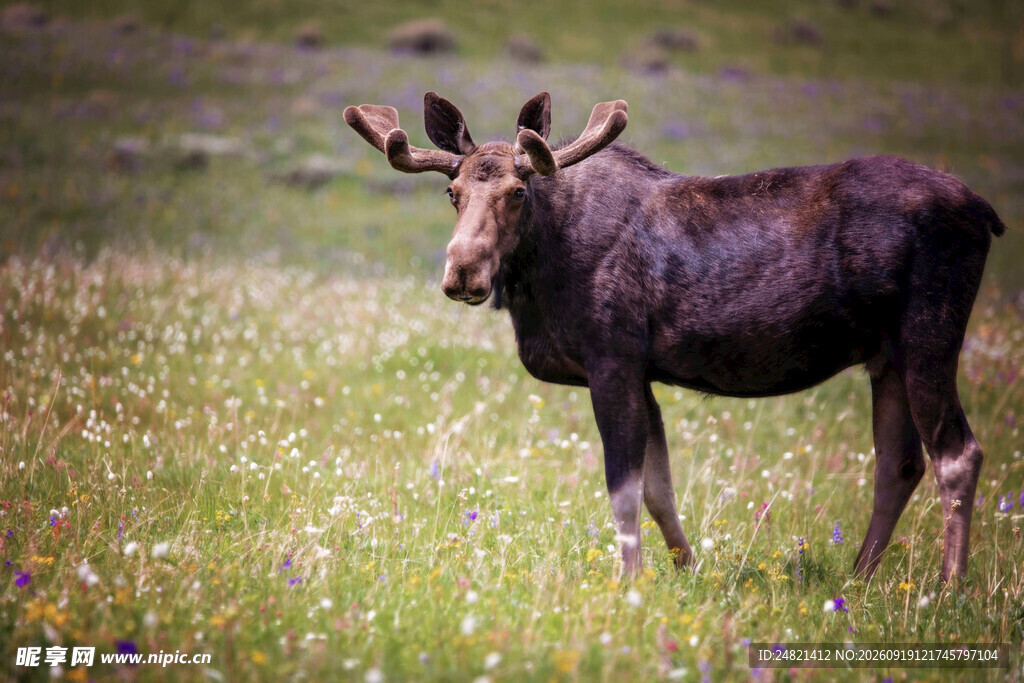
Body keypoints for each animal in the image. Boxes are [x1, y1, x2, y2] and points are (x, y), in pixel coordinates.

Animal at [344, 91, 1005, 582]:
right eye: (452, 193)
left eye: (518, 191)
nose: (462, 272)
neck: (538, 277)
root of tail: (985, 212)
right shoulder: (642, 372)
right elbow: (660, 488)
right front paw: (686, 570)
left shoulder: (612, 358)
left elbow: (623, 489)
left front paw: (626, 583)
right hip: (885, 357)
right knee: (898, 463)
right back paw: (860, 577)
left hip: (928, 333)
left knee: (957, 454)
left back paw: (949, 587)